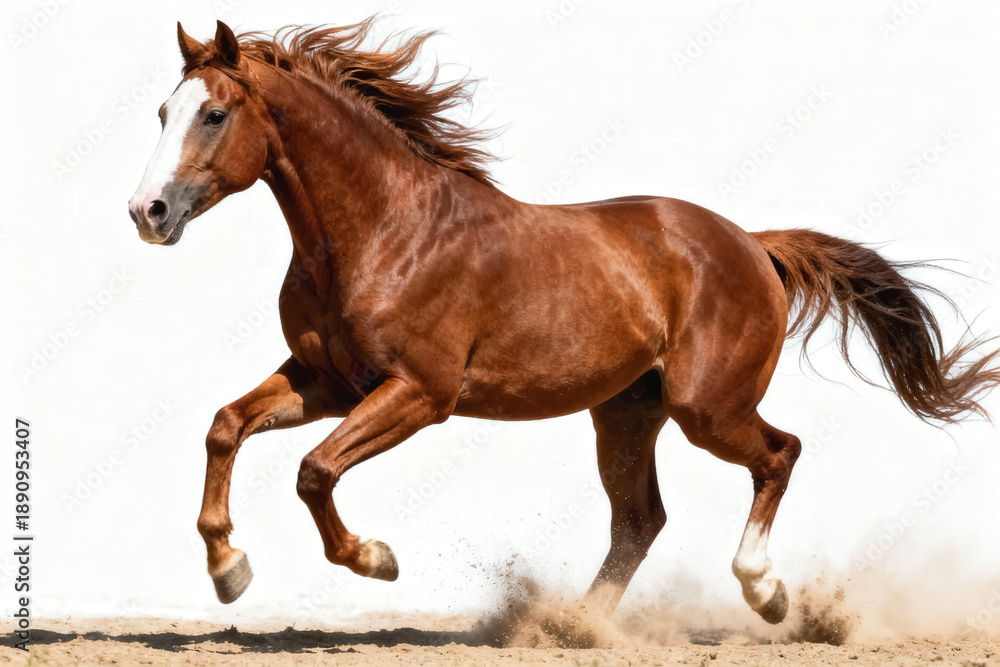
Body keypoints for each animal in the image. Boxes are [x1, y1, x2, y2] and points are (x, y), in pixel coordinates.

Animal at [128, 19, 1000, 624]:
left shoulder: (420, 393)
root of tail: (752, 243)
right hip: (626, 412)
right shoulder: (328, 381)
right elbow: (226, 427)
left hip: (706, 408)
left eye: (213, 114)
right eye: (163, 110)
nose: (147, 212)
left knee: (778, 454)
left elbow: (314, 470)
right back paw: (576, 627)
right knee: (641, 518)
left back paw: (765, 592)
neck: (381, 230)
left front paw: (375, 558)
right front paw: (228, 568)